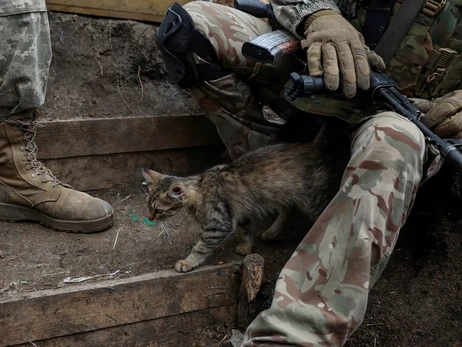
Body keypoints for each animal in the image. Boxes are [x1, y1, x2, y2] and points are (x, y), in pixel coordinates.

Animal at [141, 123, 346, 274]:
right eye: (148, 207)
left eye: (158, 210)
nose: (149, 218)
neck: (199, 188)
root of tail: (312, 146)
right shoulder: (239, 213)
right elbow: (247, 230)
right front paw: (247, 246)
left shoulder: (218, 226)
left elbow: (200, 247)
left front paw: (187, 262)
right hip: (284, 193)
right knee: (289, 210)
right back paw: (272, 232)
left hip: (313, 201)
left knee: (326, 215)